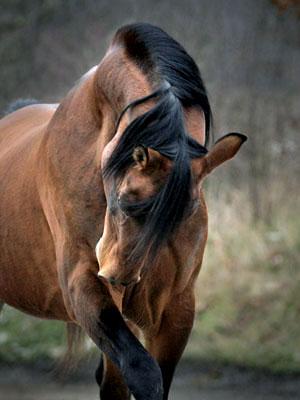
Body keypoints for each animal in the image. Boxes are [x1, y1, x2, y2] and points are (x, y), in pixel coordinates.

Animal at [0, 23, 246, 398]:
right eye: (127, 200)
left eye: (185, 214)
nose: (118, 275)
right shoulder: (83, 285)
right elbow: (142, 375)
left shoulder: (176, 305)